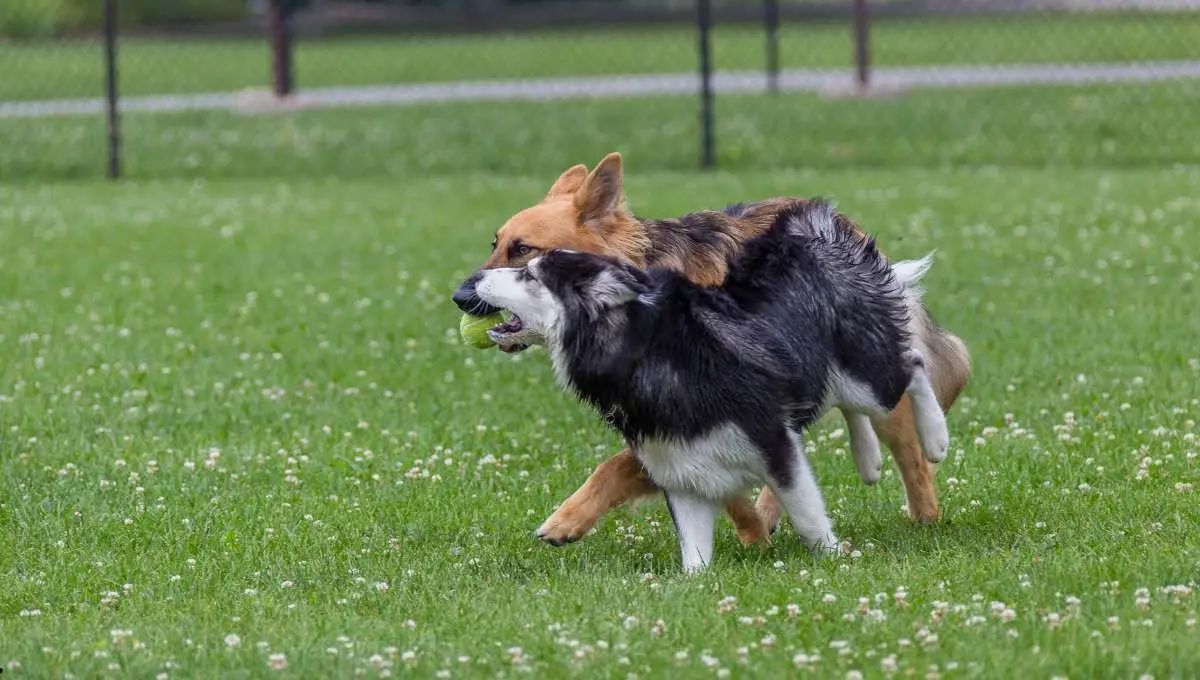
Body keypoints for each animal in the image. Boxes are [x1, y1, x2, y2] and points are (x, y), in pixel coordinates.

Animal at [472, 202, 950, 575]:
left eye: (530, 273)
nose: (468, 287)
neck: (642, 353)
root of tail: (814, 228)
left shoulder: (776, 445)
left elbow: (810, 518)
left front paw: (833, 559)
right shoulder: (677, 466)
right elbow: (695, 556)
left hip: (870, 377)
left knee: (913, 366)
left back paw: (935, 437)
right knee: (849, 403)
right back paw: (868, 459)